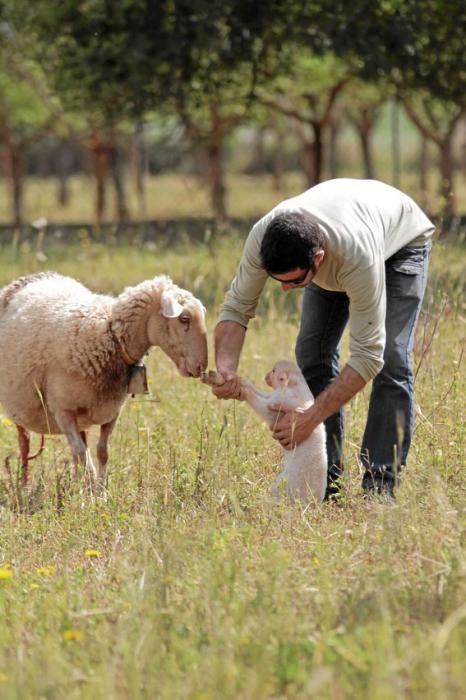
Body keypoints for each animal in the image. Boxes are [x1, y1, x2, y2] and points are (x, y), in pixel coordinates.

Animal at [0, 270, 208, 490]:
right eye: (184, 318)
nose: (200, 367)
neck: (109, 337)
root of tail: (31, 276)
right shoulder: (63, 411)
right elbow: (82, 454)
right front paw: (89, 493)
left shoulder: (111, 412)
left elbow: (101, 452)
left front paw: (99, 491)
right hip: (19, 405)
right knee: (25, 442)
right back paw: (25, 486)